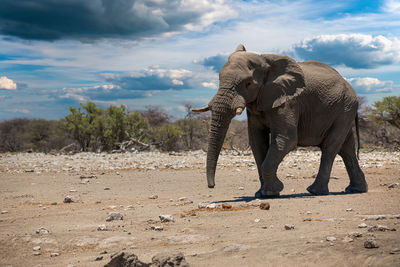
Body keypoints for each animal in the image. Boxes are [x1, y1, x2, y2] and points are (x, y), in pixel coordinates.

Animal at [194, 44, 368, 199]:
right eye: (219, 79)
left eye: (248, 84)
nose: (212, 186)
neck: (265, 62)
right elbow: (257, 142)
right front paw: (262, 194)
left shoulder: (288, 102)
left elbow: (286, 140)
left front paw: (271, 192)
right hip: (343, 110)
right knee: (346, 148)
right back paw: (355, 190)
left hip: (344, 108)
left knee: (330, 146)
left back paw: (315, 191)